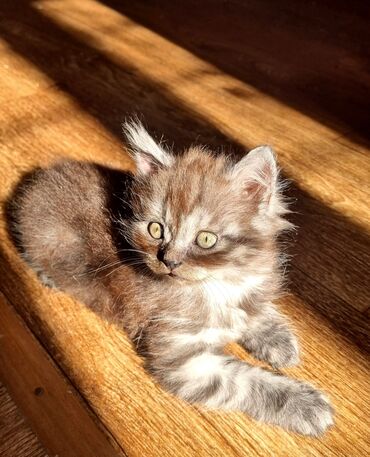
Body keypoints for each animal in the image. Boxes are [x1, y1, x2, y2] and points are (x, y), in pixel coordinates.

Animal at [8, 120, 334, 434]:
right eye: (156, 229)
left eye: (206, 239)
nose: (169, 261)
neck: (216, 284)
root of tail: (38, 179)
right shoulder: (184, 361)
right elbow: (246, 382)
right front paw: (304, 404)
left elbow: (253, 310)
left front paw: (277, 339)